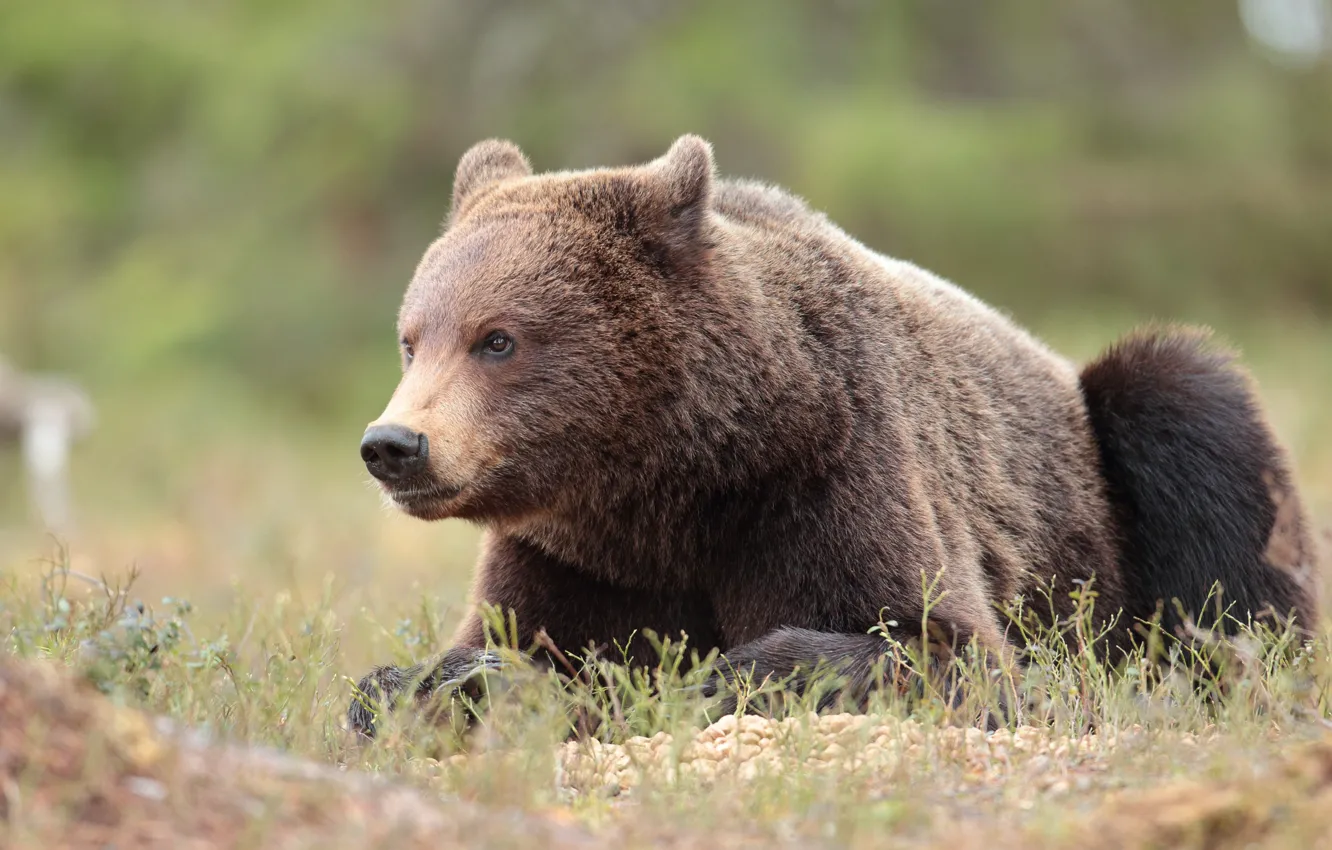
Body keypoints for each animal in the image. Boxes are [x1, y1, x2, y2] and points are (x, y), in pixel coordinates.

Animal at [347, 135, 1320, 737]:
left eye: (498, 339)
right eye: (411, 336)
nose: (394, 444)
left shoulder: (832, 471)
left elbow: (952, 651)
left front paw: (729, 673)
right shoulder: (580, 555)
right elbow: (508, 645)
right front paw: (436, 684)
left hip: (1105, 473)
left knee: (1195, 436)